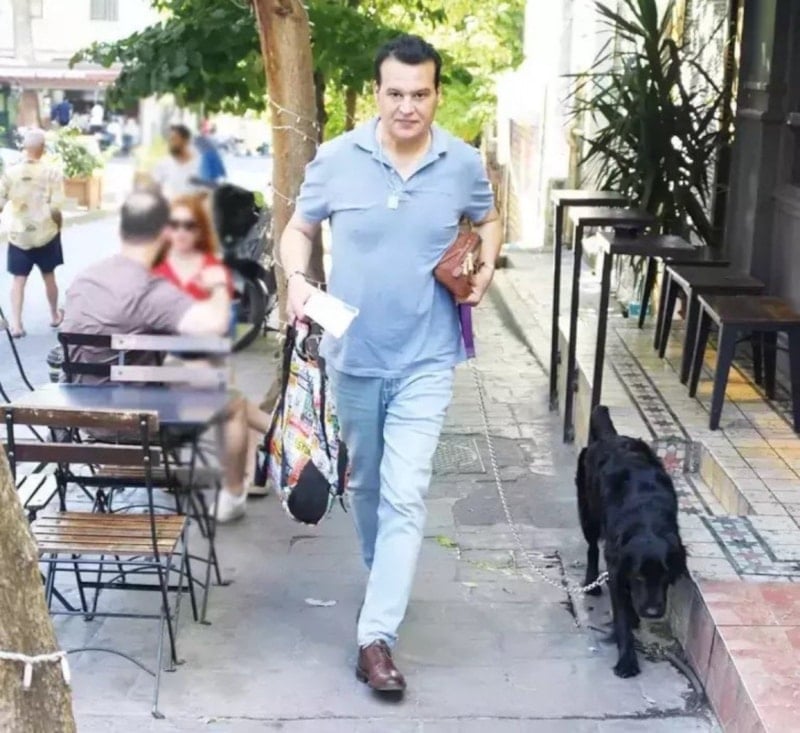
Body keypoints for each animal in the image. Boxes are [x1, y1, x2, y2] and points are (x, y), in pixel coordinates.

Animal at [576, 406, 687, 678]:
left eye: (664, 576)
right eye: (639, 576)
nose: (652, 613)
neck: (646, 518)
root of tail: (611, 437)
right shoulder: (617, 570)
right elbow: (622, 616)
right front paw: (627, 660)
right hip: (588, 515)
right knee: (592, 548)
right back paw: (592, 583)